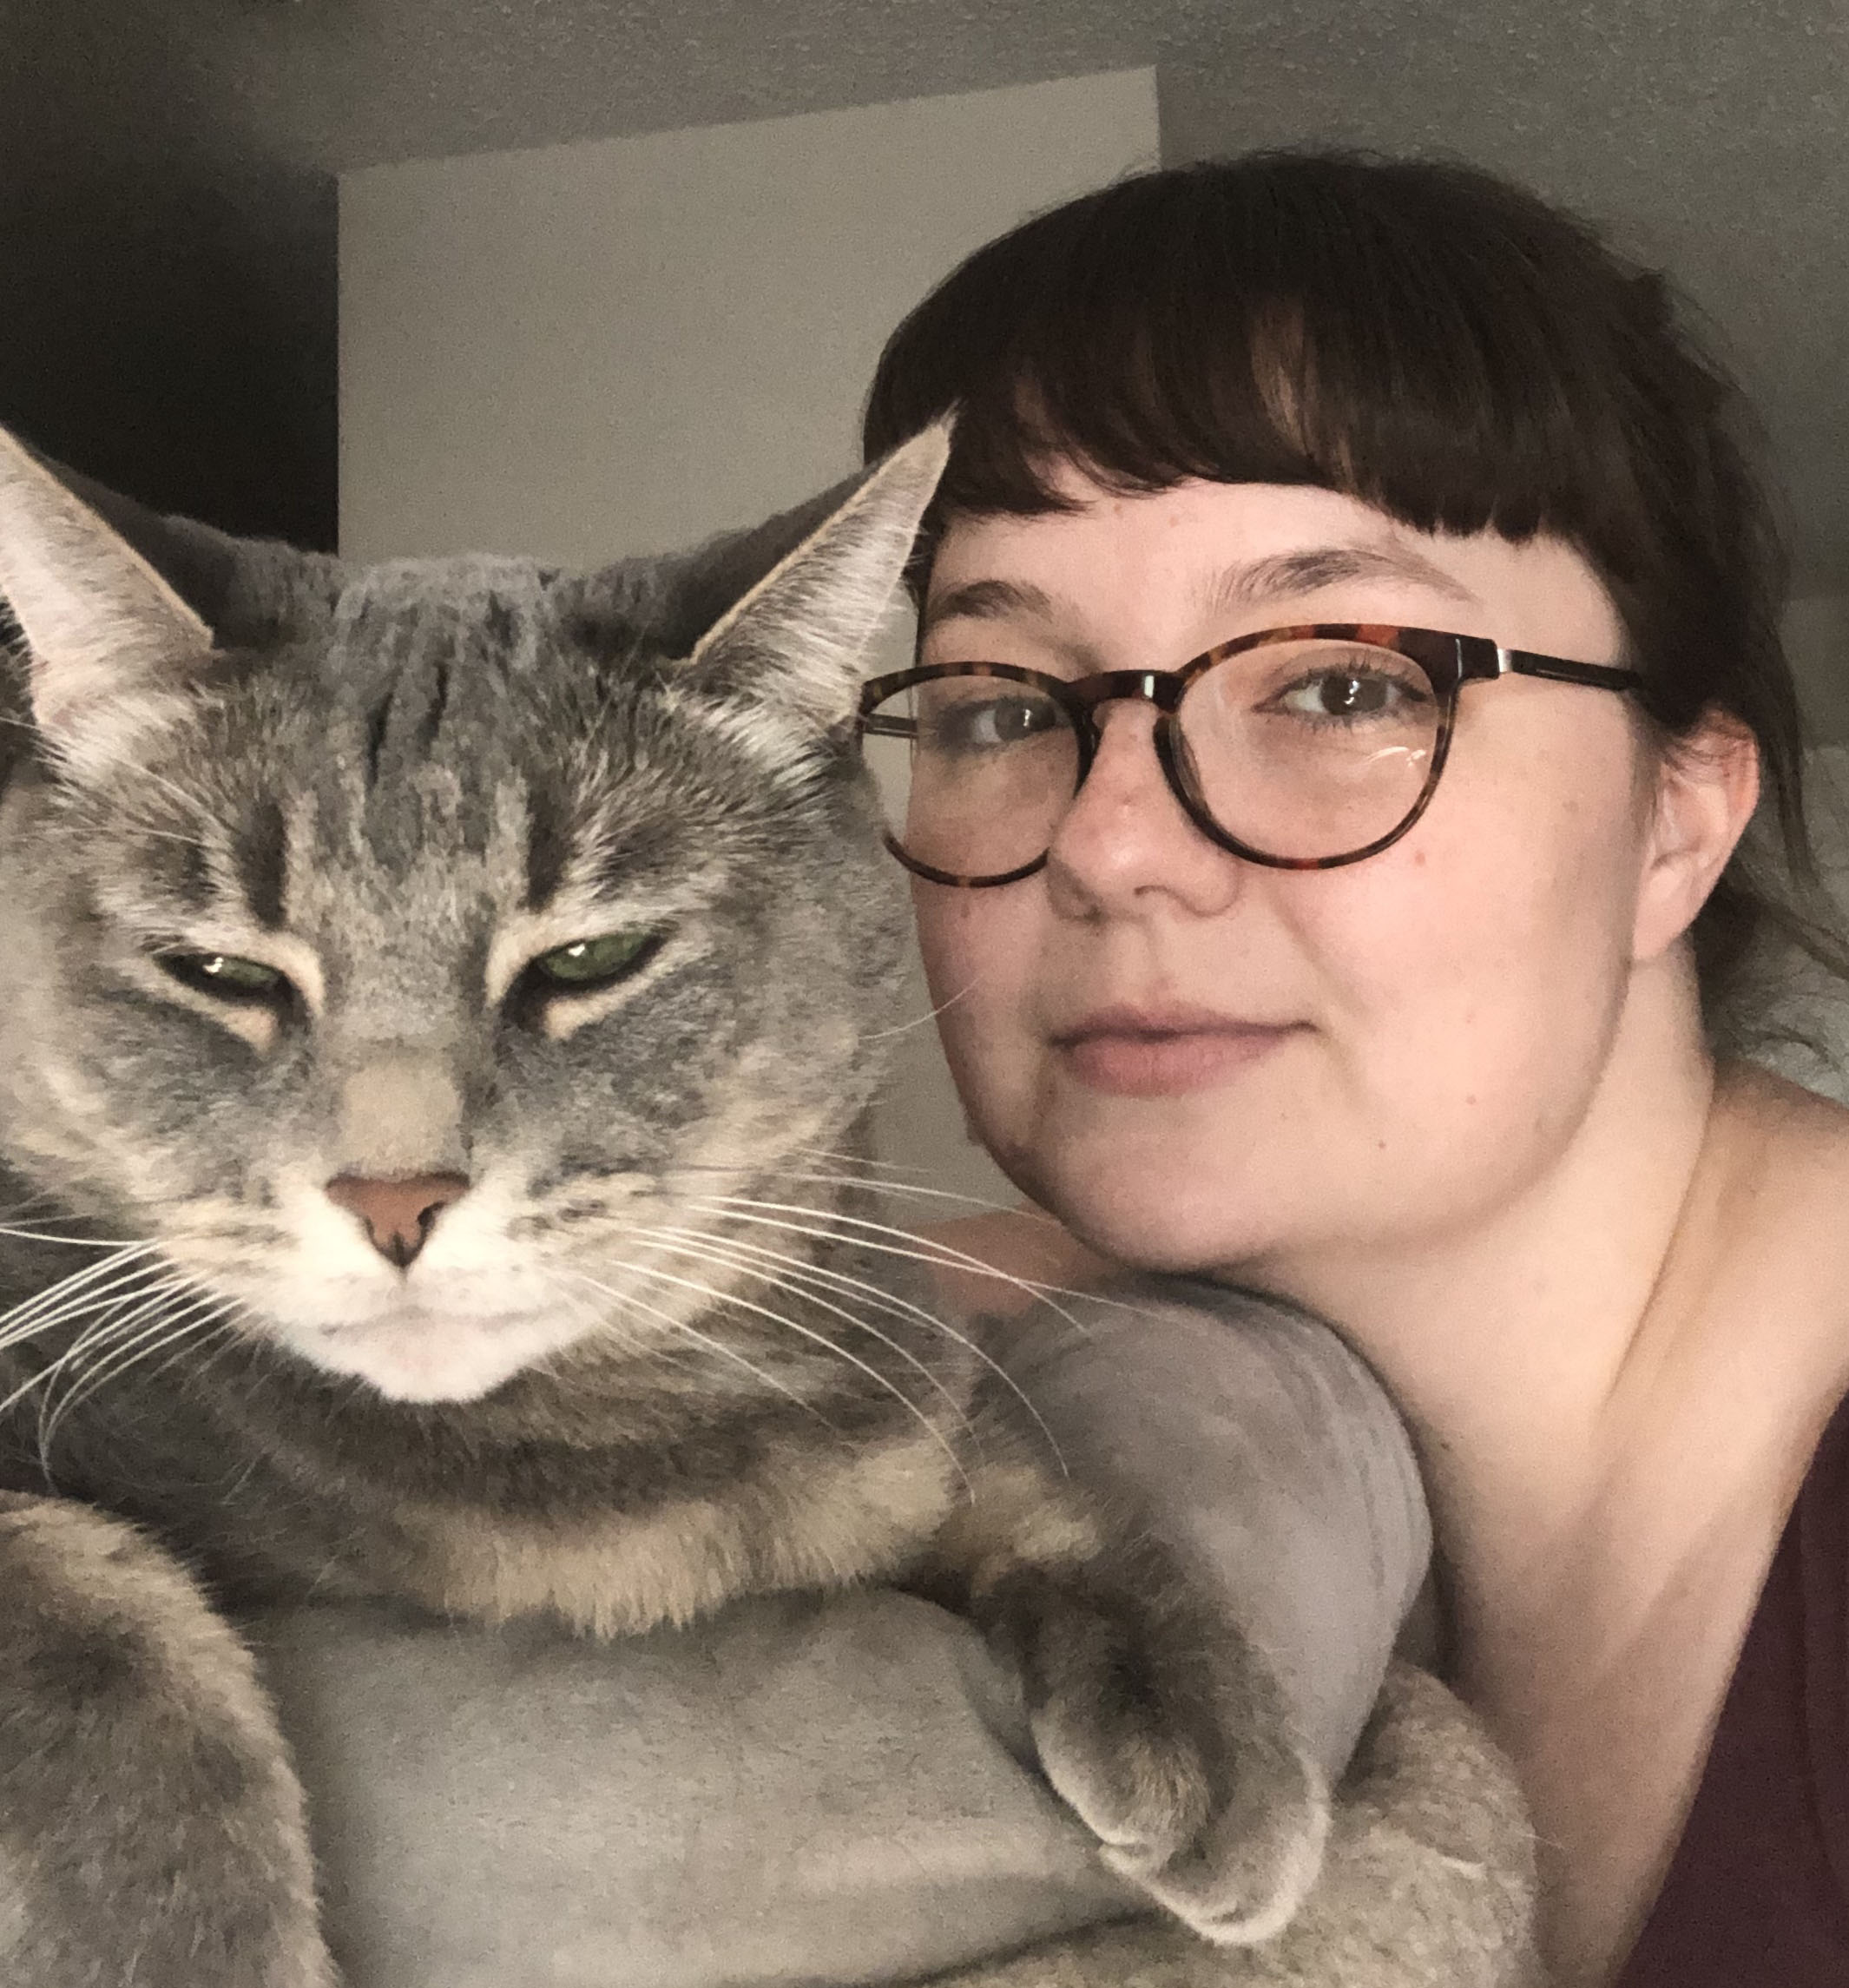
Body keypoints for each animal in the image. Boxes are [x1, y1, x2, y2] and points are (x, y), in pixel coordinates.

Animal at [0, 423, 1526, 1988]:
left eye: (589, 958)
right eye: (222, 972)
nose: (394, 1195)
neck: (617, 1487)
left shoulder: (901, 1392)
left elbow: (1017, 1479)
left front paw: (1208, 1725)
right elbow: (95, 1612)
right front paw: (179, 1944)